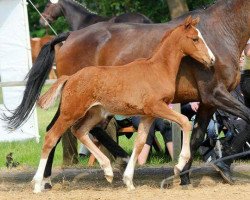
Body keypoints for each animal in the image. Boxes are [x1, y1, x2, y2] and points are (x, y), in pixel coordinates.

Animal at [33, 16, 215, 192]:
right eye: (195, 39)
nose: (211, 60)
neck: (158, 69)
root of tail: (70, 77)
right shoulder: (157, 107)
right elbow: (185, 122)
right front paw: (179, 165)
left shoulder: (148, 115)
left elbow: (140, 143)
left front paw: (129, 181)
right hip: (70, 112)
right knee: (51, 137)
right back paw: (37, 184)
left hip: (95, 113)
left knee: (80, 131)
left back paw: (107, 170)